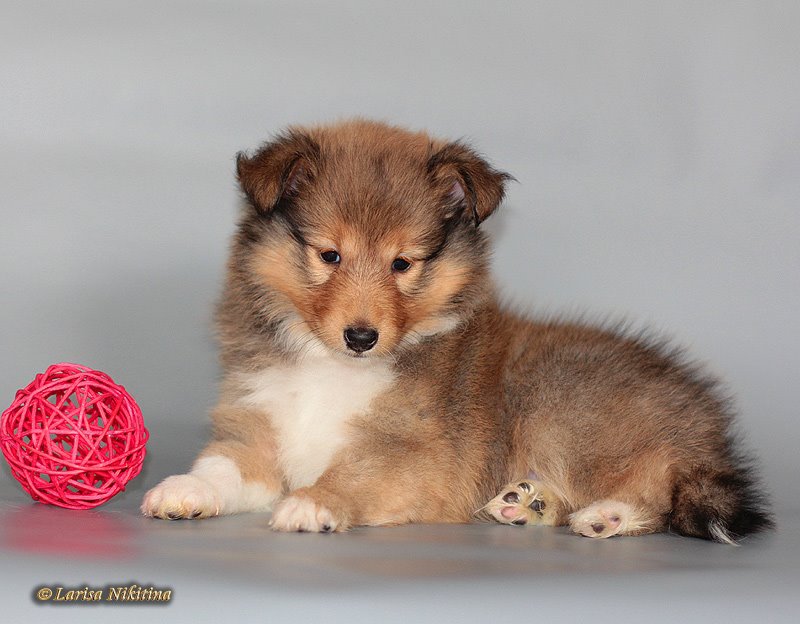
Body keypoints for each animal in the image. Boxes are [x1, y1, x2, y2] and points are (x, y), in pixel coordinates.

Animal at [141, 119, 772, 544]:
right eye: (329, 255)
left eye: (403, 264)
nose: (362, 337)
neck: (332, 366)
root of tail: (706, 429)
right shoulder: (258, 422)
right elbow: (224, 463)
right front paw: (183, 491)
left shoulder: (415, 449)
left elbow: (358, 469)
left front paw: (314, 503)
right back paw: (525, 503)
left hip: (562, 411)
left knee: (658, 487)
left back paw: (604, 516)